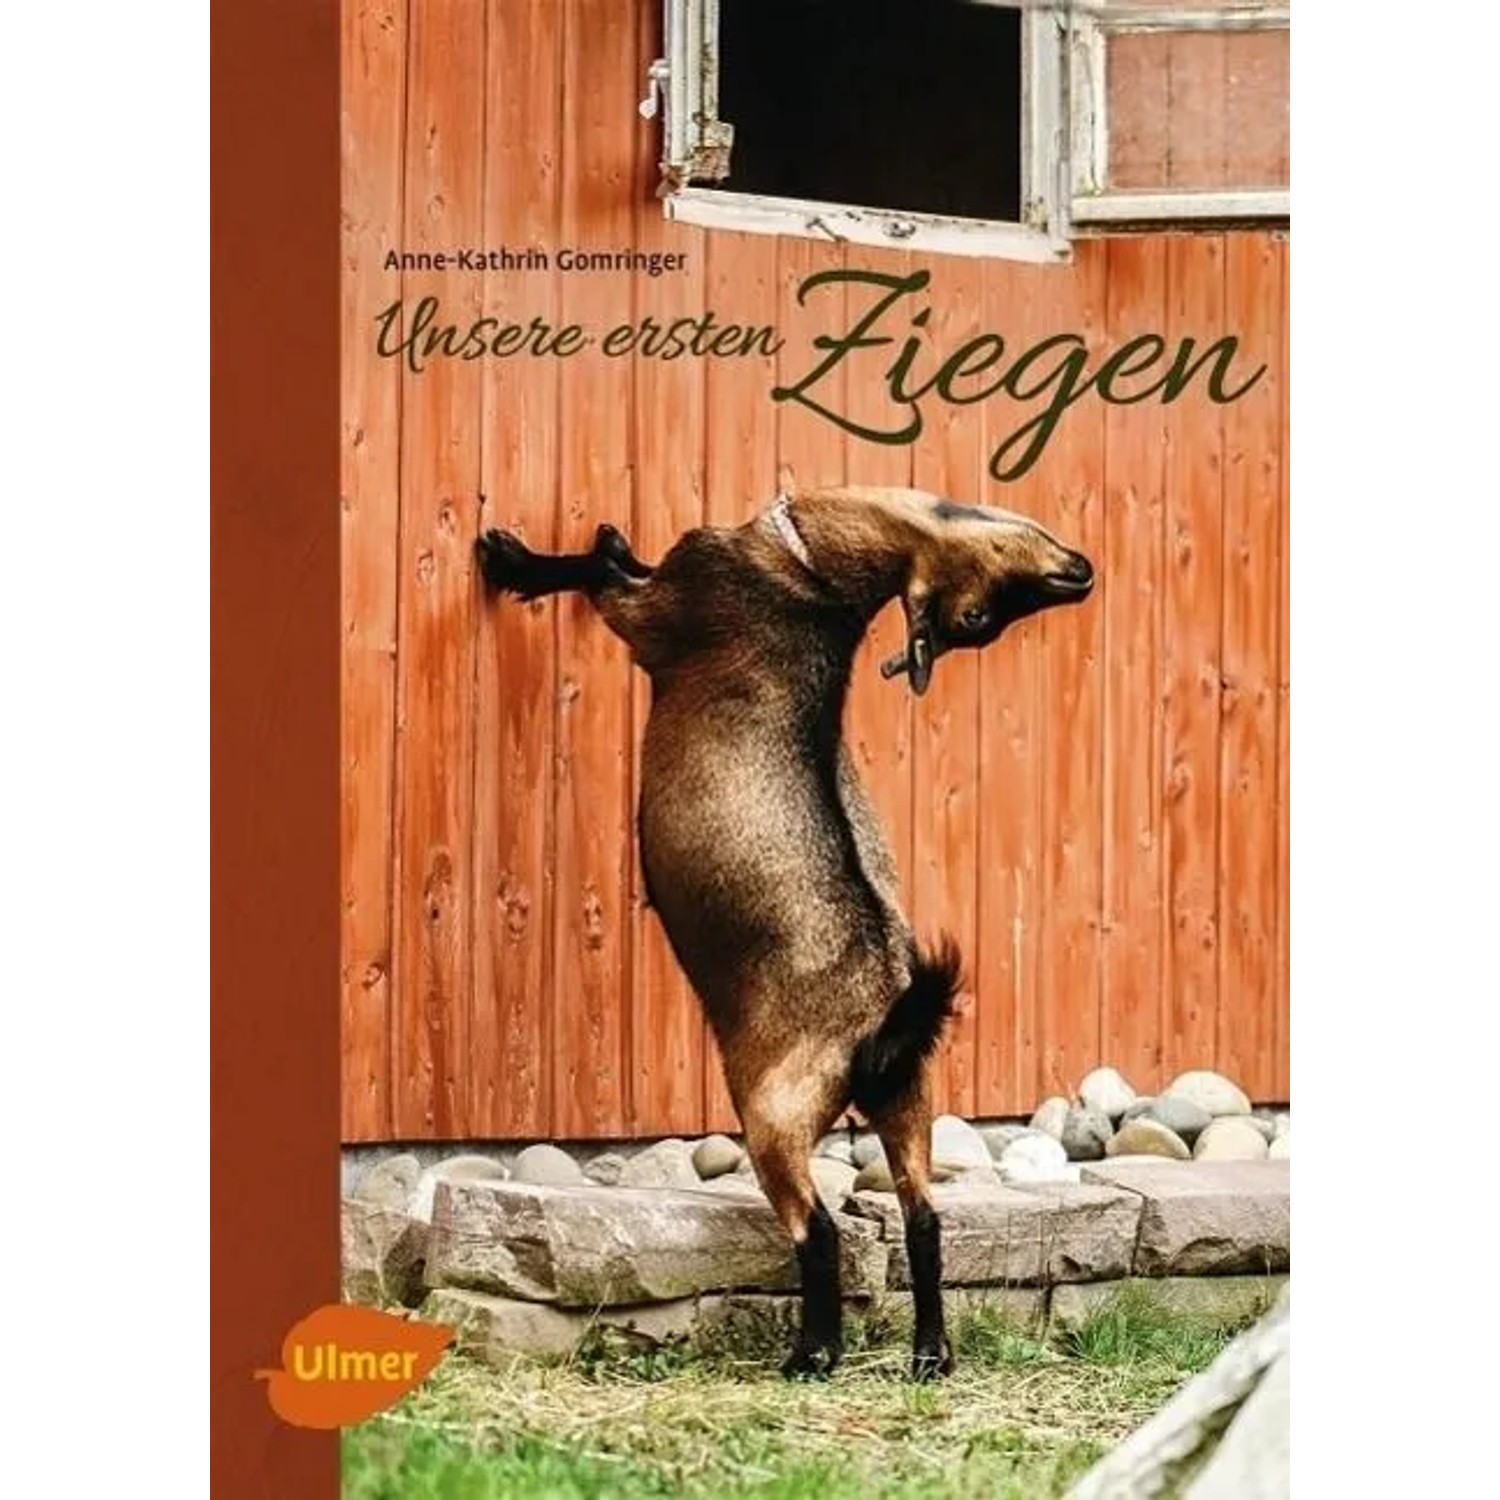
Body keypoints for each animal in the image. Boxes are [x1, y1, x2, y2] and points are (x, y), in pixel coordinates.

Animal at [476, 485, 1095, 1380]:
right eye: (983, 615)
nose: (1080, 575)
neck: (812, 579)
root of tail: (884, 1021)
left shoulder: (656, 615)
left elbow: (601, 577)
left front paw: (514, 559)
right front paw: (607, 537)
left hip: (774, 1109)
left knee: (819, 1228)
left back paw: (814, 1353)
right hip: (909, 1100)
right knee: (924, 1218)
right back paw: (929, 1355)